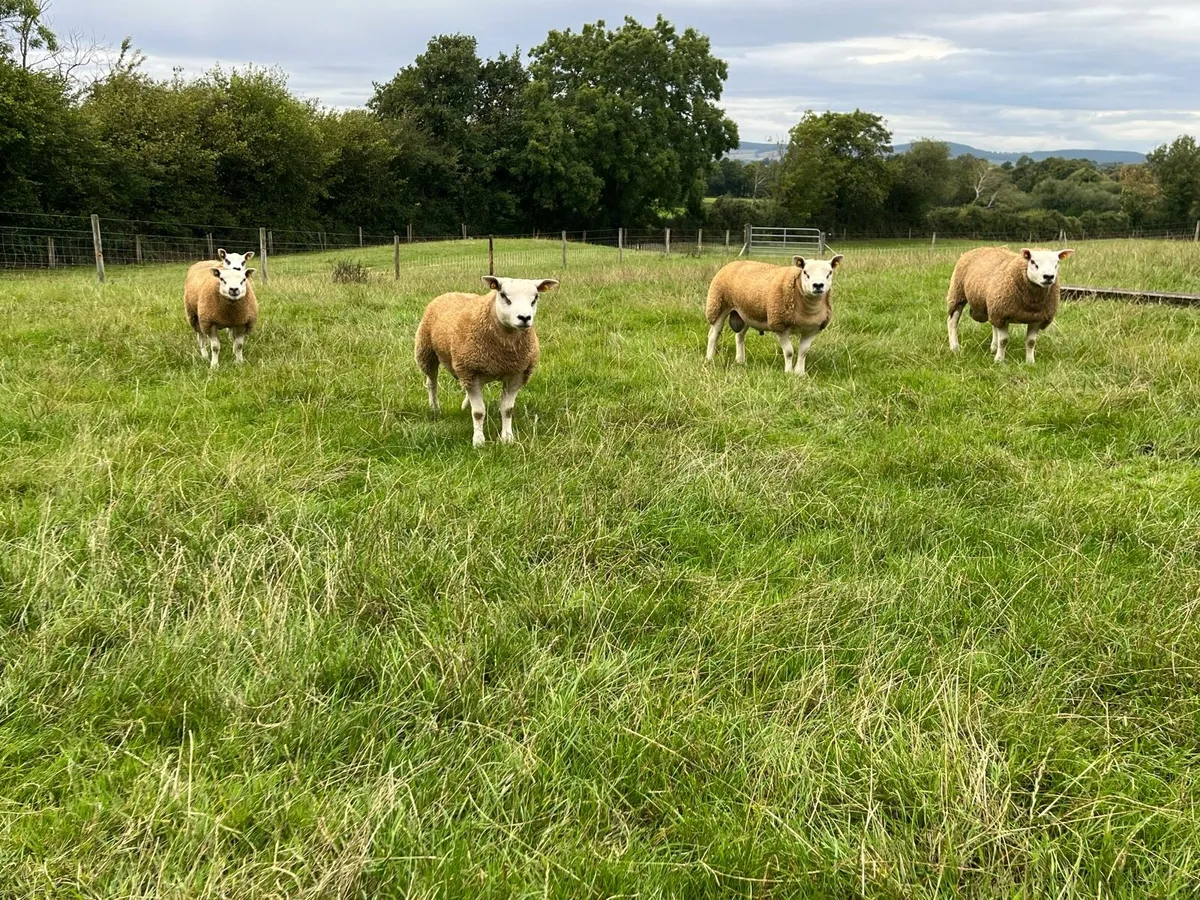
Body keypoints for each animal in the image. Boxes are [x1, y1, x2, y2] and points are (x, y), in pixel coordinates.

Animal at [415, 275, 559, 447]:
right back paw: (434, 408)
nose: (524, 318)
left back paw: (464, 404)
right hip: (427, 352)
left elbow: (507, 410)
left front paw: (507, 438)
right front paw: (478, 441)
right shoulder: (471, 372)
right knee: (432, 383)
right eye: (503, 295)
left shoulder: (516, 374)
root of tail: (449, 293)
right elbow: (478, 412)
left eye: (535, 297)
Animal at [705, 255, 844, 375]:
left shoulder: (812, 329)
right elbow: (789, 352)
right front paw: (788, 372)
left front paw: (800, 373)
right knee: (713, 335)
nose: (818, 285)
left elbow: (803, 352)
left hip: (744, 312)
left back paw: (740, 361)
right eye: (805, 272)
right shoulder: (779, 325)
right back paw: (709, 358)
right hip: (718, 305)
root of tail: (733, 263)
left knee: (739, 336)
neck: (808, 309)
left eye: (829, 273)